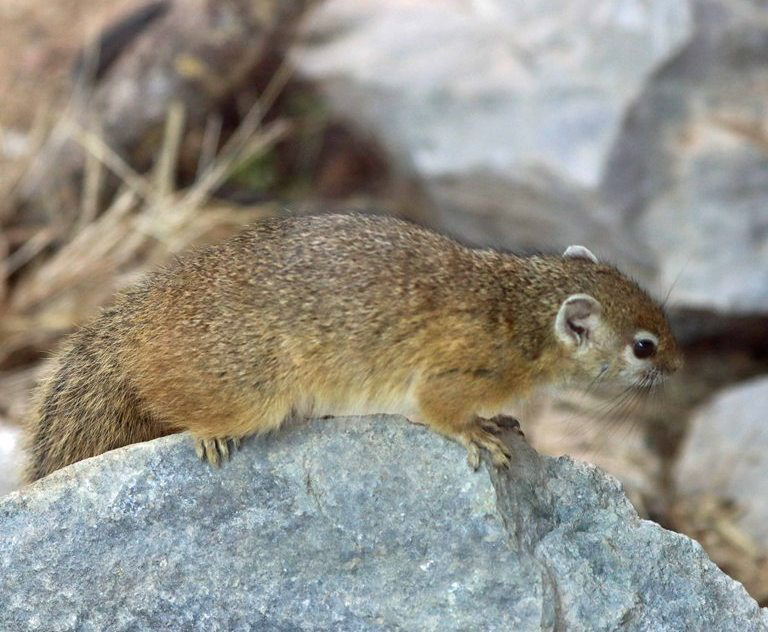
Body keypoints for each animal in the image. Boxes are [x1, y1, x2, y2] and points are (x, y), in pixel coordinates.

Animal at [24, 213, 682, 482]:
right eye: (644, 346)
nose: (679, 365)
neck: (520, 310)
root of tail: (140, 320)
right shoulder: (450, 377)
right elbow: (445, 415)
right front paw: (480, 435)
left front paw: (503, 422)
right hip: (253, 394)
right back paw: (209, 436)